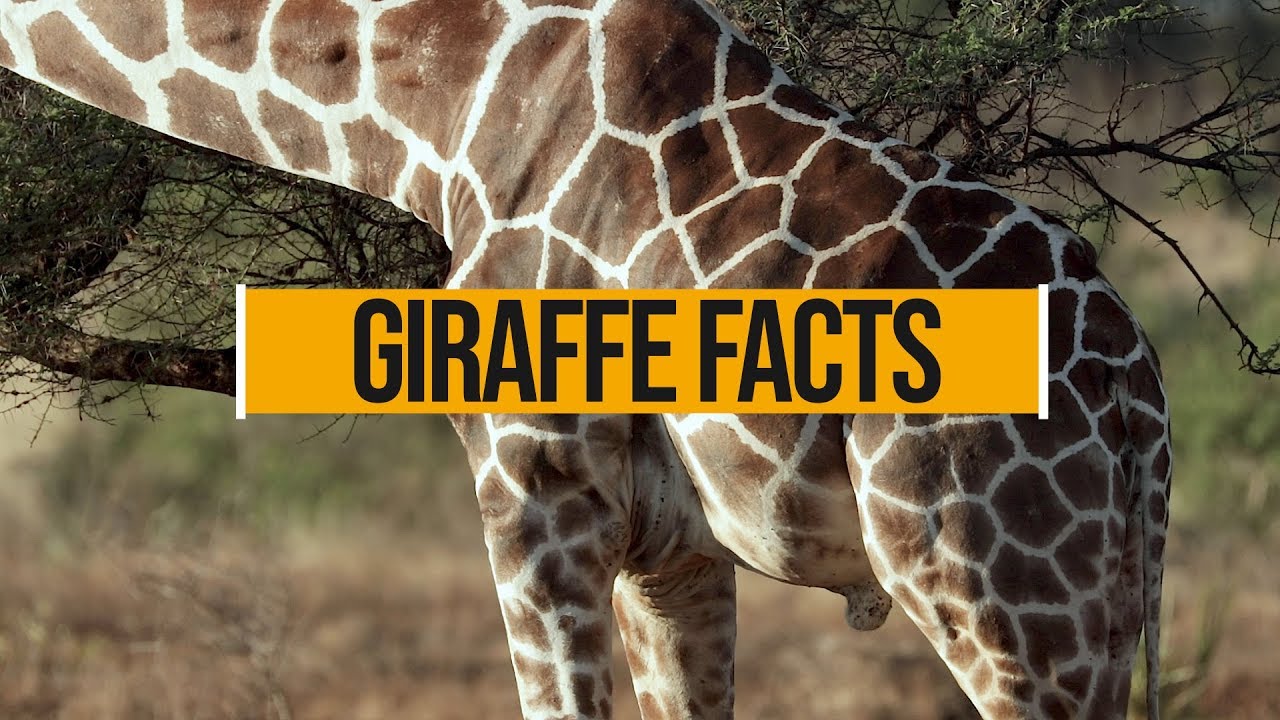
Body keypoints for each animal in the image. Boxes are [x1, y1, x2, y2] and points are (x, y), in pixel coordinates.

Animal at [0, 0, 1173, 718]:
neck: (435, 107)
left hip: (997, 586)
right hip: (1105, 596)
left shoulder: (534, 478)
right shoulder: (674, 546)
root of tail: (1132, 392)